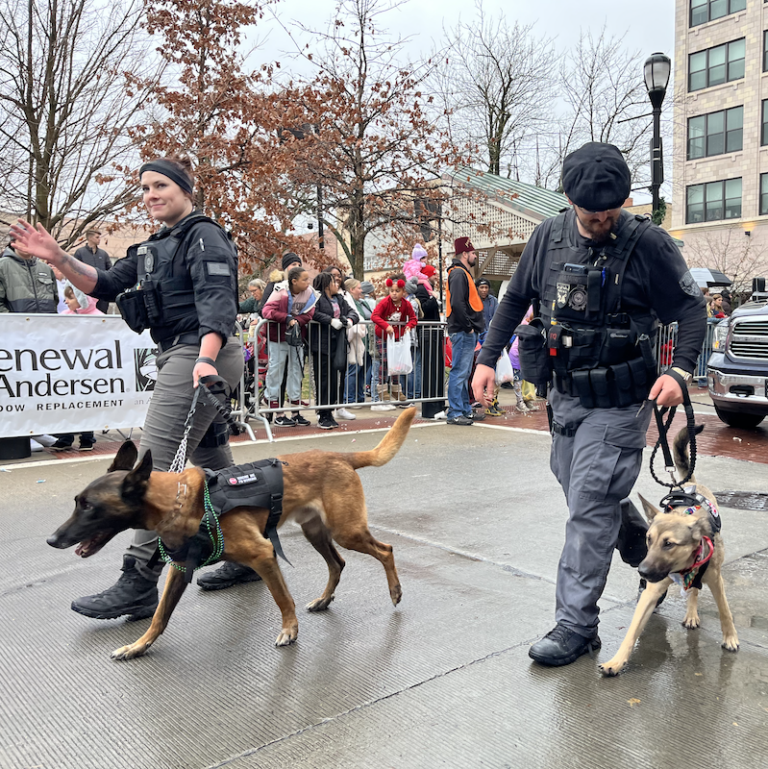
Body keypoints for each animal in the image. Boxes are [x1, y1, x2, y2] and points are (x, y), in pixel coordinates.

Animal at [46, 408, 420, 660]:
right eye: (77, 502)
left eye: (89, 507)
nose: (52, 539)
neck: (181, 500)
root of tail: (340, 455)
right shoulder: (180, 569)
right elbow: (159, 616)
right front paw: (138, 646)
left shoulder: (264, 554)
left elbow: (282, 599)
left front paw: (289, 631)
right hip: (317, 533)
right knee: (338, 564)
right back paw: (325, 599)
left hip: (347, 531)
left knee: (385, 550)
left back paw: (395, 591)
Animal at [600, 424, 736, 676]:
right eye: (648, 539)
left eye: (669, 544)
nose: (642, 572)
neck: (682, 567)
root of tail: (691, 486)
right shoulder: (651, 591)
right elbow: (632, 630)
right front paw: (617, 661)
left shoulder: (715, 579)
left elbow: (725, 611)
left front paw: (731, 638)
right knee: (692, 590)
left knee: (695, 590)